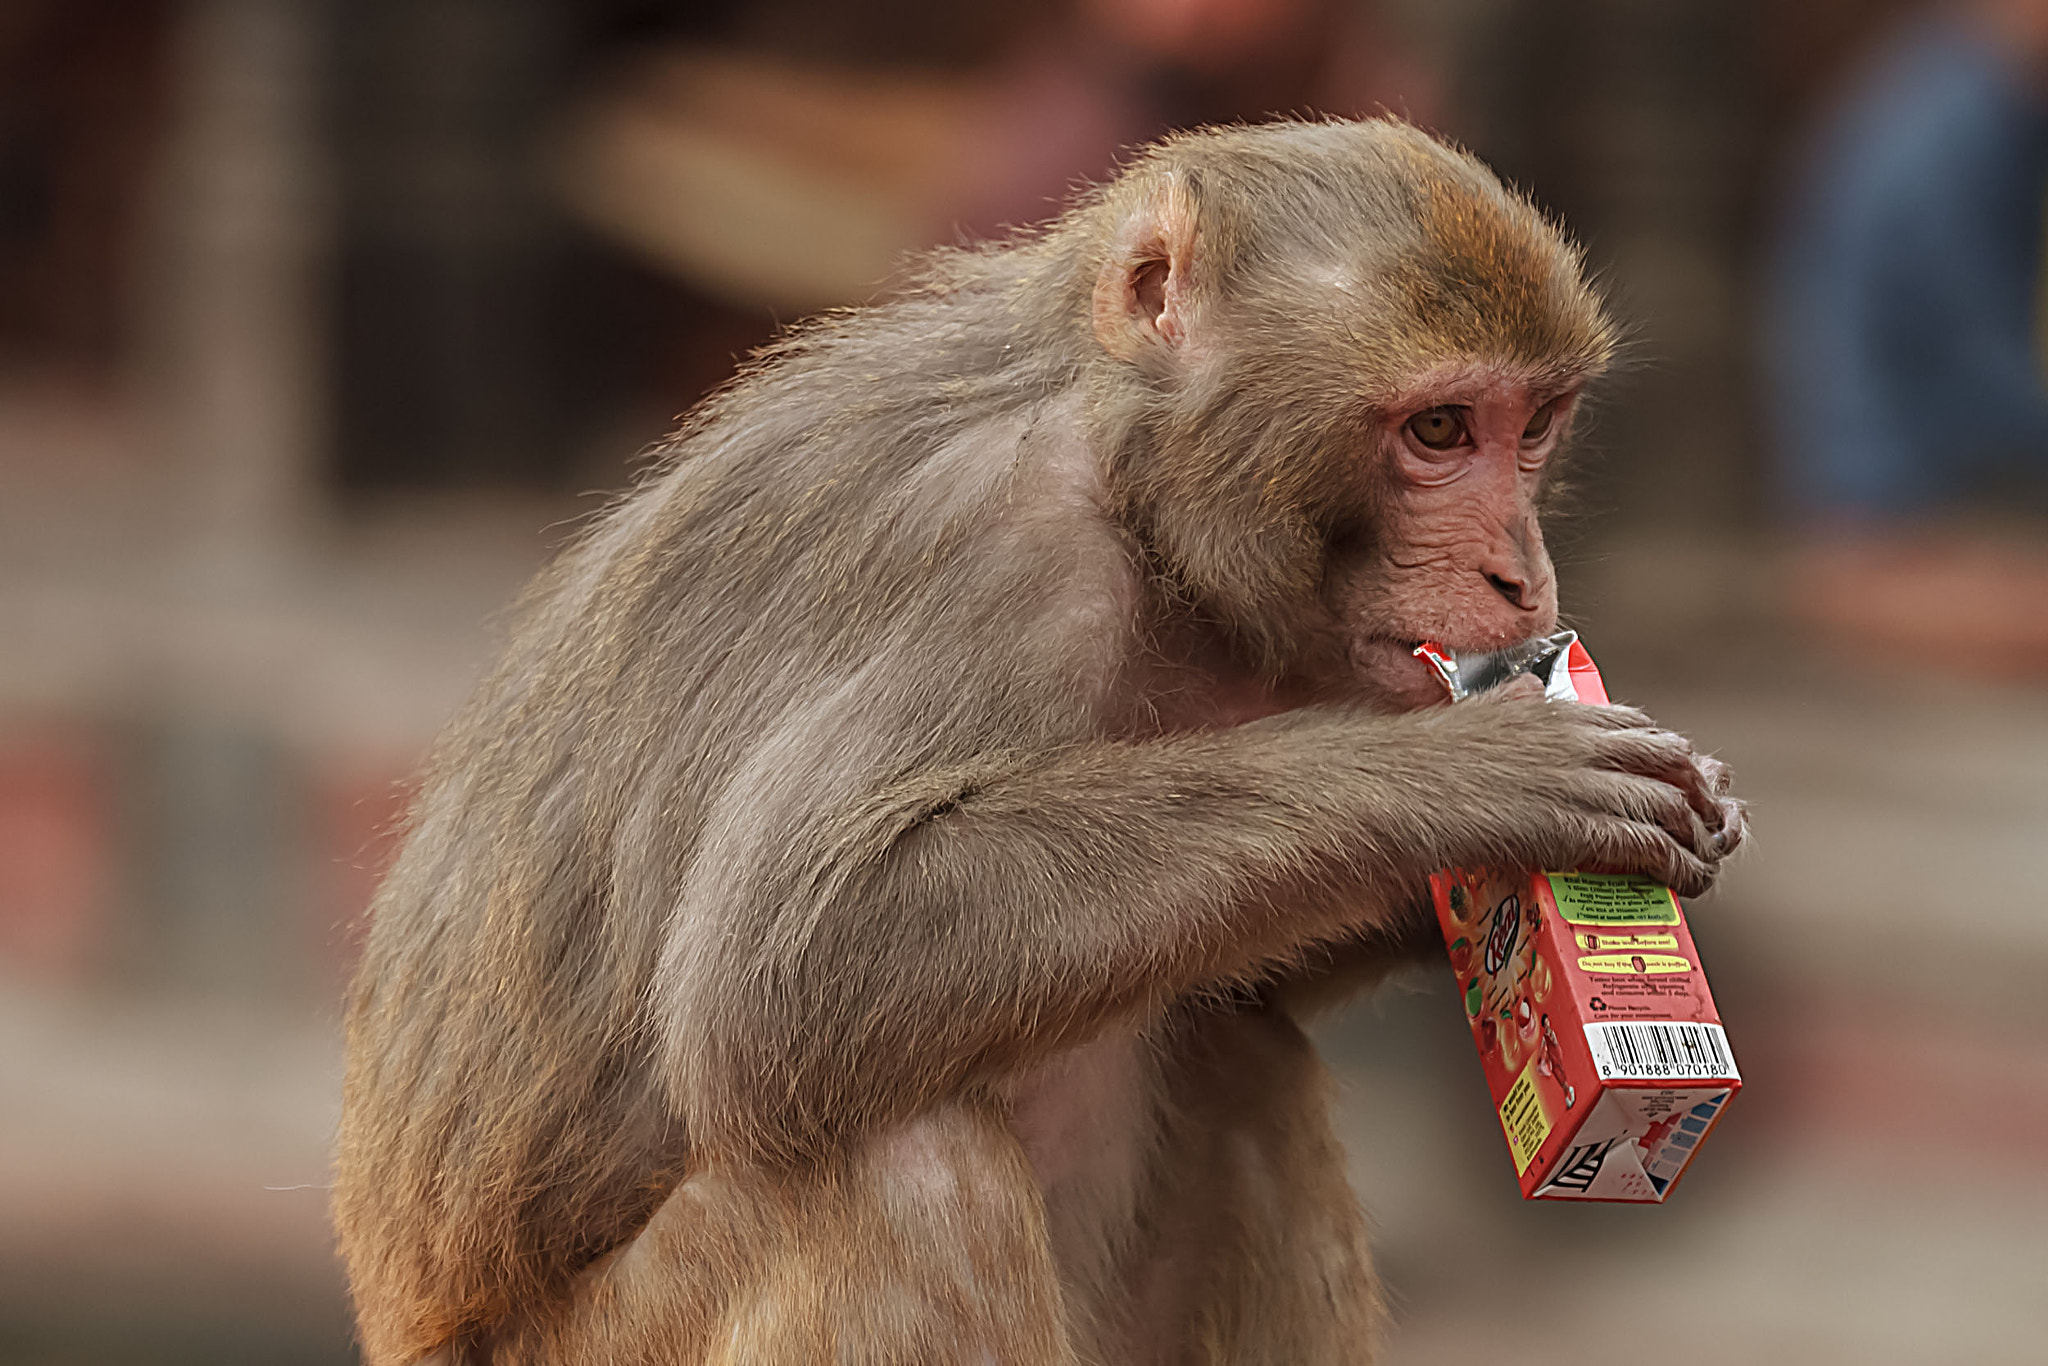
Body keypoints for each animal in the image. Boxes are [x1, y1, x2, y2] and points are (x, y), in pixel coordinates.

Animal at [333, 118, 1744, 1365]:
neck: (1131, 483)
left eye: (1535, 426)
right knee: (900, 1156)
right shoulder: (990, 545)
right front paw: (1472, 779)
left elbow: (1248, 969)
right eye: (1440, 430)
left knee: (1239, 1055)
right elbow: (783, 961)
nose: (1520, 575)